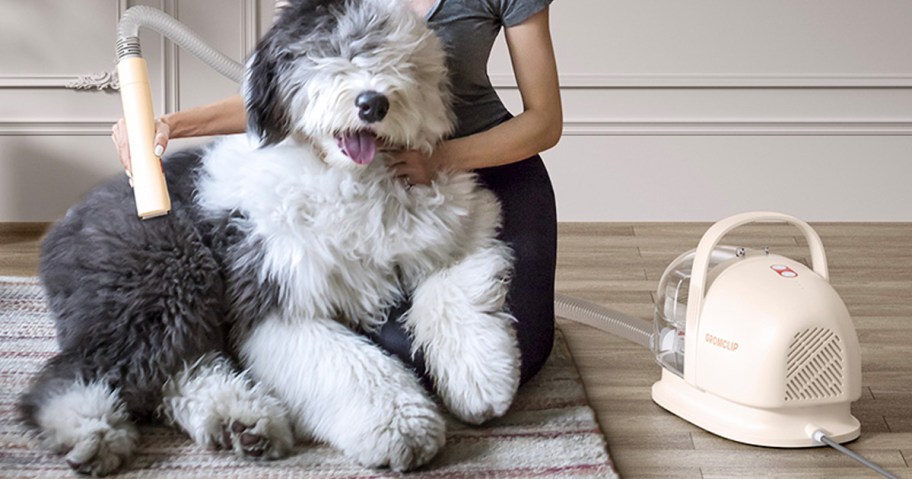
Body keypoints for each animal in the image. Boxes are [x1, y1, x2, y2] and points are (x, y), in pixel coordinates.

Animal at [17, 0, 520, 474]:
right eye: (326, 49)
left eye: (397, 56)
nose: (373, 103)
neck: (351, 180)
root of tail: (67, 218)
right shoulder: (275, 296)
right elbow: (350, 366)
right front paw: (403, 425)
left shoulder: (457, 228)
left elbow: (453, 287)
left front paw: (481, 377)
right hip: (165, 276)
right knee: (75, 373)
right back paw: (91, 431)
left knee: (180, 368)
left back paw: (240, 420)